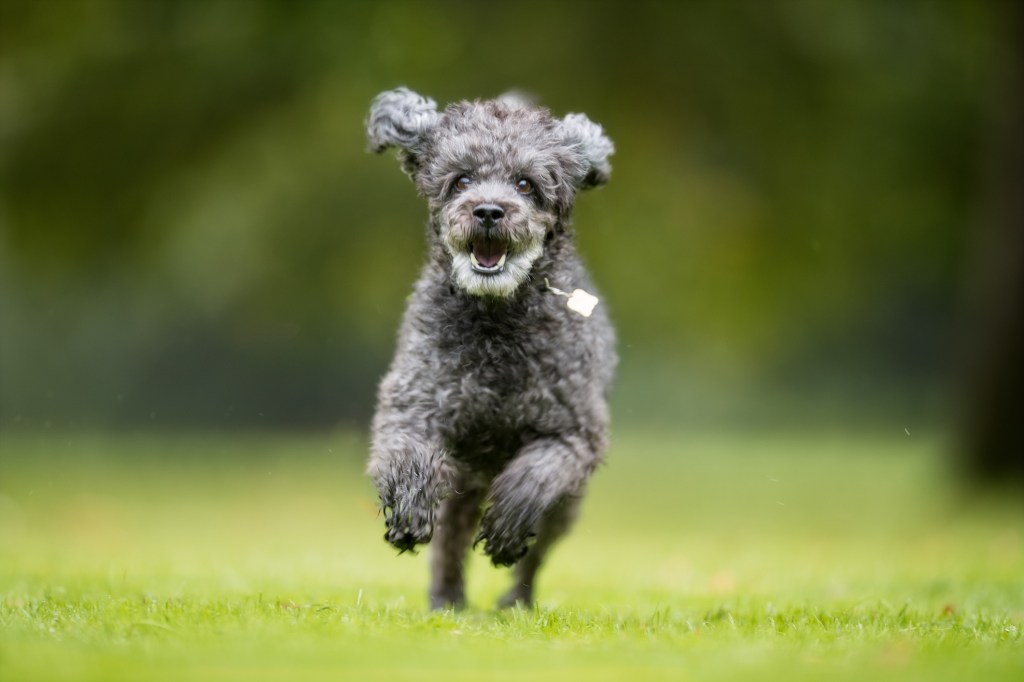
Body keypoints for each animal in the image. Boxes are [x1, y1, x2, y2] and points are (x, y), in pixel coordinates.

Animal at [364, 86, 614, 606]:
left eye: (525, 184)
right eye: (461, 180)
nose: (488, 211)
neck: (495, 323)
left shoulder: (574, 433)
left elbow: (534, 477)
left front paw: (505, 528)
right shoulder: (414, 403)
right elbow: (406, 453)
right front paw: (409, 510)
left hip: (566, 505)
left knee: (538, 551)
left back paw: (516, 599)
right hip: (462, 480)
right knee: (451, 539)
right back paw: (446, 598)